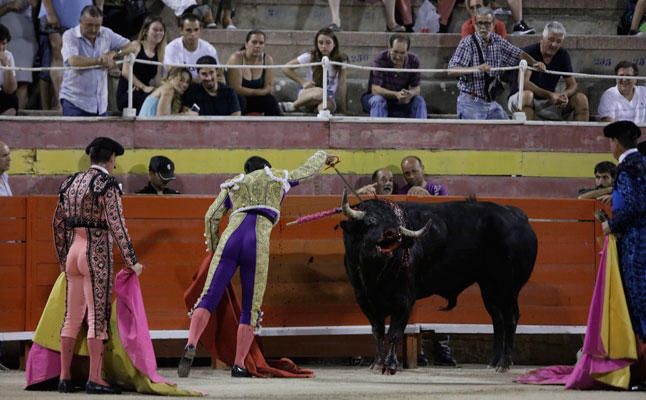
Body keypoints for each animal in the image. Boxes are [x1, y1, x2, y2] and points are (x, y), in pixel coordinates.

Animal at [342, 192, 540, 374]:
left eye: (397, 224)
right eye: (371, 220)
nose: (393, 234)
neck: (375, 272)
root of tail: (517, 216)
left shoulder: (404, 300)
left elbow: (394, 333)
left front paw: (390, 365)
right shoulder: (364, 299)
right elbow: (378, 331)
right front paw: (377, 363)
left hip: (508, 287)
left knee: (510, 318)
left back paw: (504, 364)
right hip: (489, 287)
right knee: (497, 320)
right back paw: (493, 362)